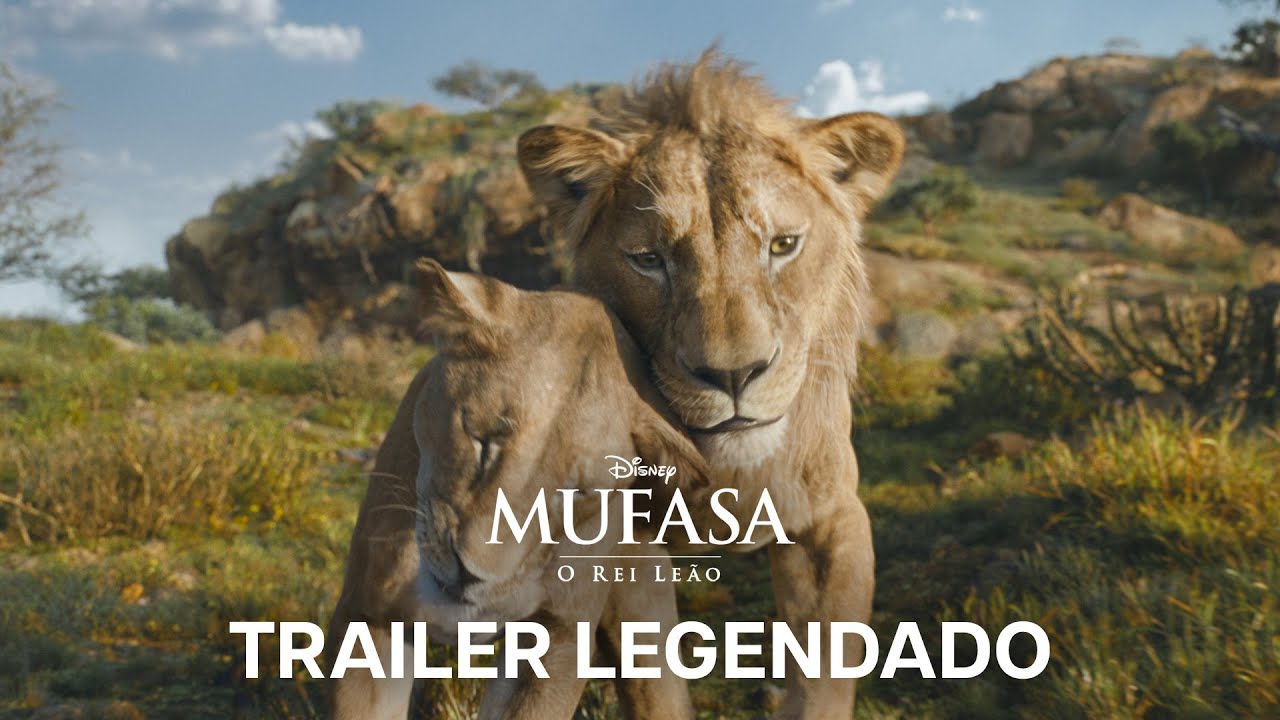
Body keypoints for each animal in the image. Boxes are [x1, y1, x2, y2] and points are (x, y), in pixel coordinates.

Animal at [513, 50, 906, 718]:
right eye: (649, 260)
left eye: (783, 244)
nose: (732, 375)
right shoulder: (625, 547)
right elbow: (654, 687)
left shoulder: (832, 520)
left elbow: (822, 681)